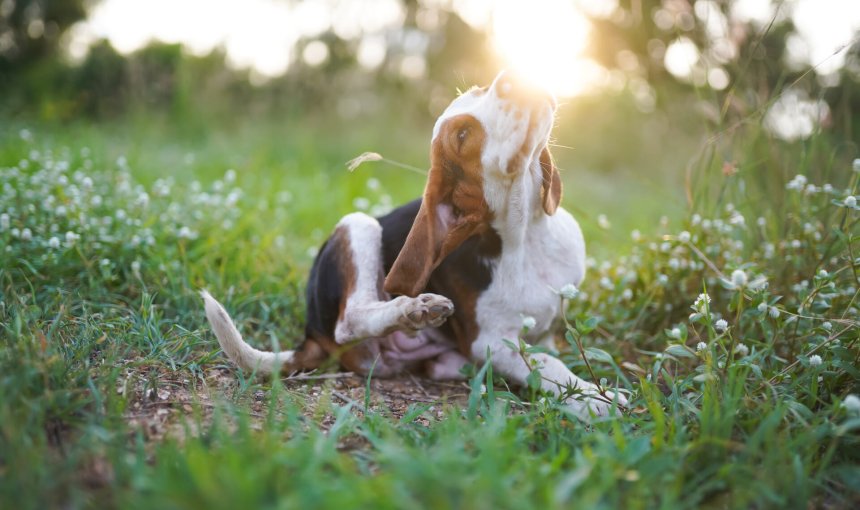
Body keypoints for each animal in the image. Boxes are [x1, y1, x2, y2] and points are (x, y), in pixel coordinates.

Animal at [205, 69, 628, 416]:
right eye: (462, 135)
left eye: (481, 89)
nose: (511, 77)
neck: (526, 237)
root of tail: (311, 332)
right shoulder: (491, 342)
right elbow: (548, 366)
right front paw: (593, 398)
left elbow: (548, 351)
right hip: (358, 225)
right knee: (350, 320)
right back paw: (413, 309)